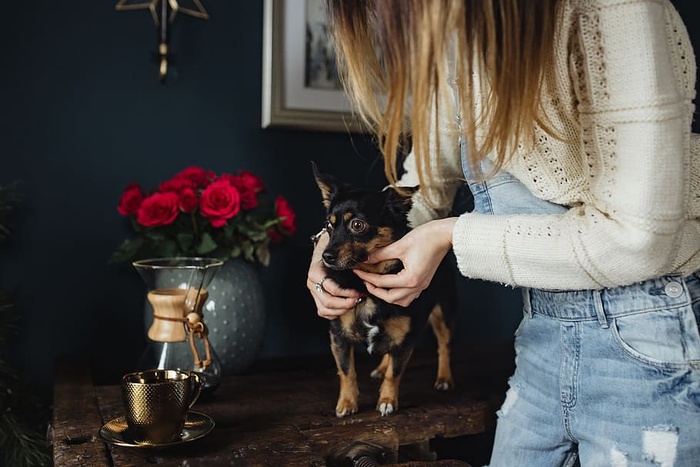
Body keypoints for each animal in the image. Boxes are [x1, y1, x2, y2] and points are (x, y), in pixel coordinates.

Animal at [314, 163, 460, 418]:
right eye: (328, 226)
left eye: (357, 225)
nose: (326, 256)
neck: (365, 285)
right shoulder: (338, 335)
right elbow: (346, 371)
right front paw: (347, 402)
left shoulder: (407, 338)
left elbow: (395, 372)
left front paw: (387, 400)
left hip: (443, 314)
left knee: (444, 346)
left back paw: (444, 378)